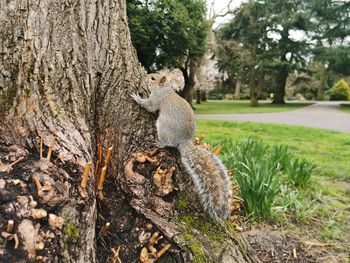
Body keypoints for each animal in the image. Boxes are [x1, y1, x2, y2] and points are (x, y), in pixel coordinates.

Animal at [131, 73, 232, 222]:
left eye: (153, 78)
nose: (145, 76)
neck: (165, 89)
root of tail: (184, 141)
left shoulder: (157, 98)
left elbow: (150, 106)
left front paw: (137, 98)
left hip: (163, 126)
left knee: (168, 142)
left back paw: (160, 143)